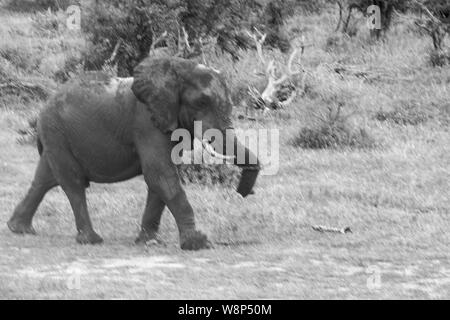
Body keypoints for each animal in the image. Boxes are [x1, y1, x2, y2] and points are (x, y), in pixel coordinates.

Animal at [7, 57, 260, 250]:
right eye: (201, 102)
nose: (243, 192)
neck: (175, 67)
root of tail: (44, 106)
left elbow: (160, 179)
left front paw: (148, 242)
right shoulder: (146, 123)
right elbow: (160, 174)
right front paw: (198, 244)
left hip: (56, 137)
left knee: (44, 180)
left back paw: (19, 229)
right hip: (56, 133)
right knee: (73, 183)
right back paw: (91, 240)